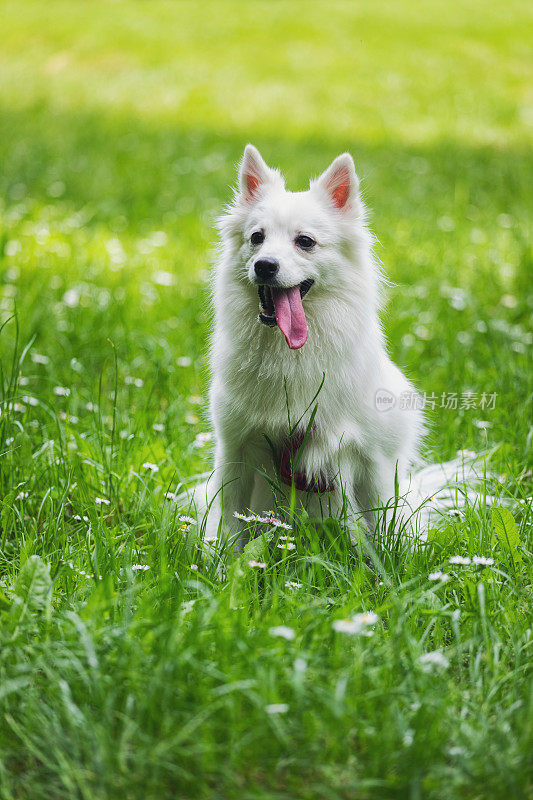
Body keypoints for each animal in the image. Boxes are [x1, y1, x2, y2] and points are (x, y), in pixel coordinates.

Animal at [202, 144, 426, 548]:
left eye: (304, 242)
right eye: (256, 238)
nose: (264, 265)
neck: (288, 354)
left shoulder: (375, 460)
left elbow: (384, 526)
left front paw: (389, 562)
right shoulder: (235, 450)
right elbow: (228, 525)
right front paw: (222, 563)